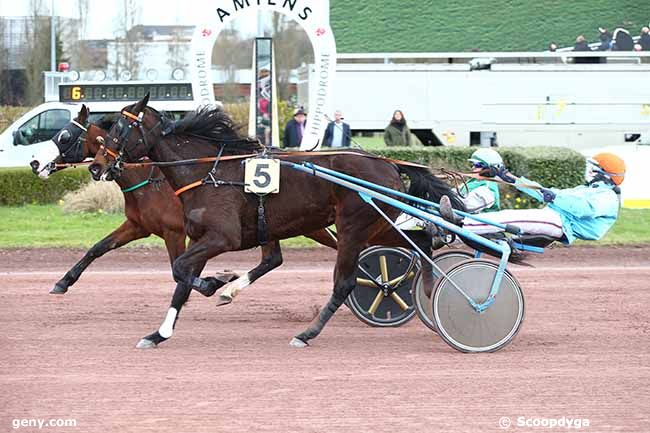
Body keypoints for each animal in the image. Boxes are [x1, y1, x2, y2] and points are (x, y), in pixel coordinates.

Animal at [88, 96, 464, 350]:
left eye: (120, 128)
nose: (96, 166)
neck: (208, 171)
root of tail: (388, 163)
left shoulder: (222, 237)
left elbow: (180, 270)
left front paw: (214, 284)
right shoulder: (200, 238)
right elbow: (180, 282)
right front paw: (159, 333)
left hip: (353, 227)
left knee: (345, 283)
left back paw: (307, 333)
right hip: (377, 225)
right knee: (422, 244)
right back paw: (430, 291)